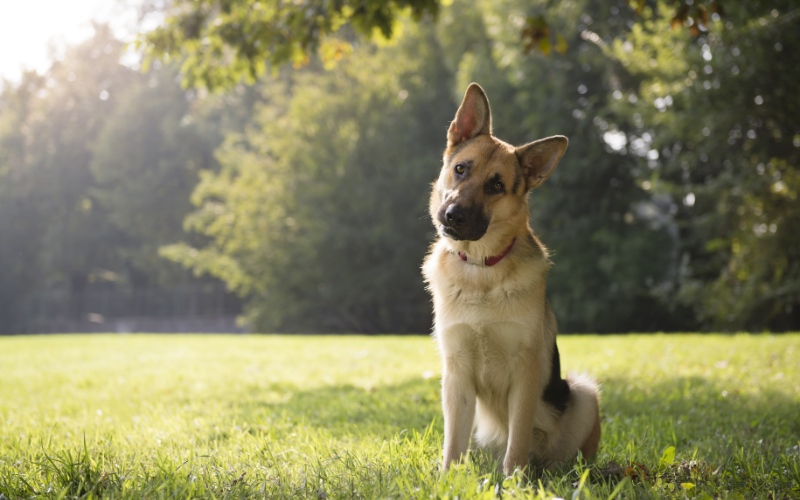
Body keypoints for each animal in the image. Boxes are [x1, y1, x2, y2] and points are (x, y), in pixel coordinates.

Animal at [424, 83, 600, 476]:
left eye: (497, 186)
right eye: (461, 169)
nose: (453, 215)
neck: (481, 269)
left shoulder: (526, 373)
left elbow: (517, 439)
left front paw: (515, 481)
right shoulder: (456, 374)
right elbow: (452, 444)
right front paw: (447, 480)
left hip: (583, 393)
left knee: (562, 456)